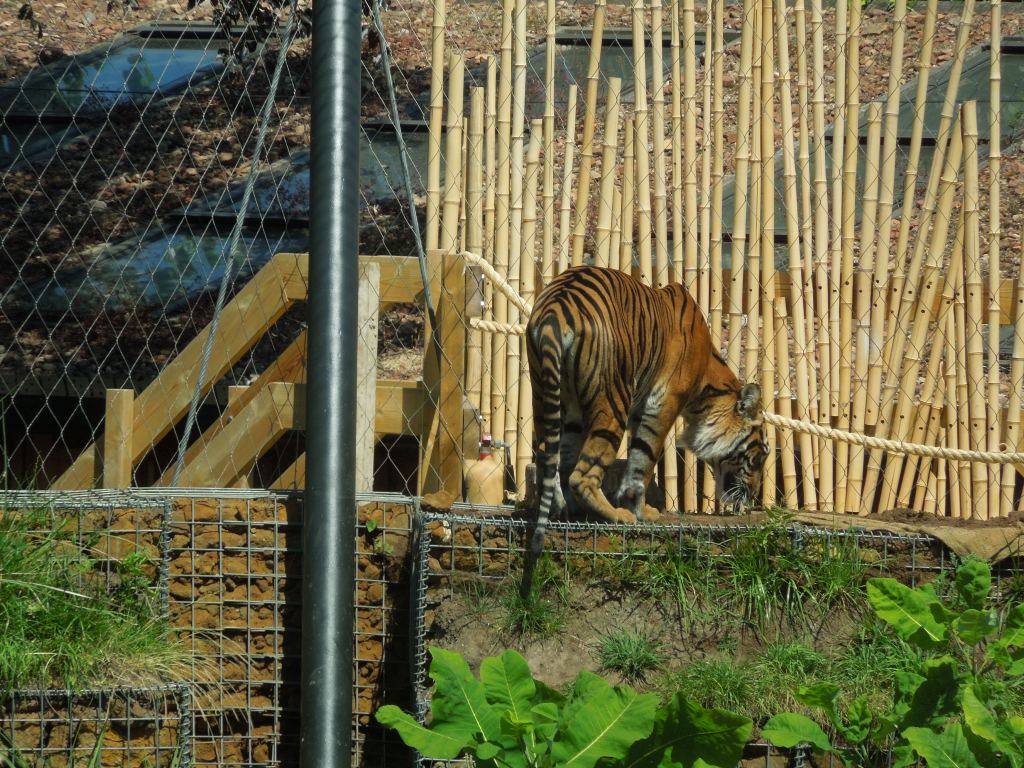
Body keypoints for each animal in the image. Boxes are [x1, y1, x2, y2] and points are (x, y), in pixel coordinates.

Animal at [520, 265, 767, 597]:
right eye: (760, 456)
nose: (753, 496)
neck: (707, 387)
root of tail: (555, 307)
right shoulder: (662, 404)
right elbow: (644, 461)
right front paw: (641, 511)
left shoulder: (635, 409)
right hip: (614, 400)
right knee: (582, 475)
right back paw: (615, 515)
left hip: (550, 396)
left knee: (552, 458)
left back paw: (566, 508)